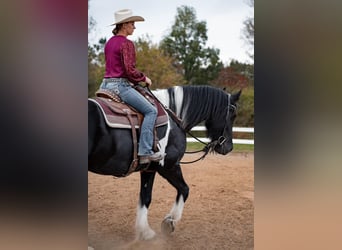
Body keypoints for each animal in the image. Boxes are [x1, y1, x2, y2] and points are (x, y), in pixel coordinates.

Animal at [89, 85, 242, 240]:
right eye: (233, 115)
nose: (229, 147)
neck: (173, 122)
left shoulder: (149, 169)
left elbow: (145, 197)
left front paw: (145, 231)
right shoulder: (169, 166)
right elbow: (184, 189)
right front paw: (169, 222)